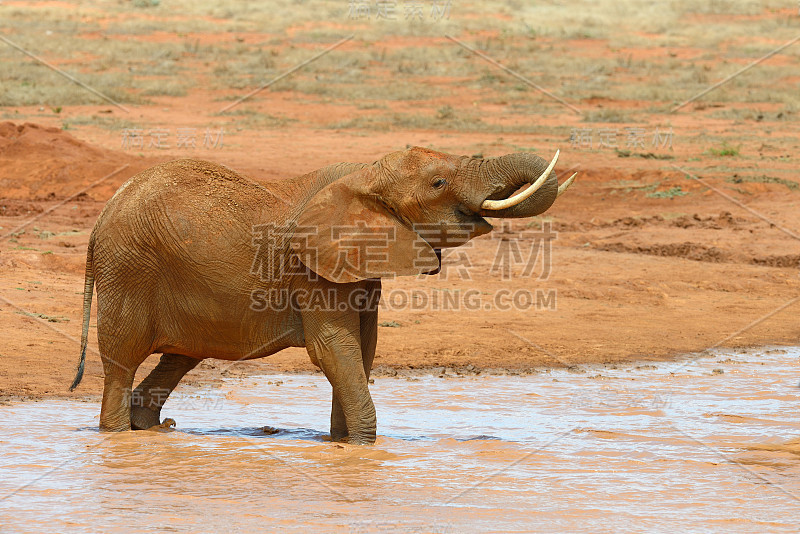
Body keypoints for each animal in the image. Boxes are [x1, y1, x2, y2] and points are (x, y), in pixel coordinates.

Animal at [69, 147, 576, 448]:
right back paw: (117, 437)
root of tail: (101, 217)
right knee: (123, 360)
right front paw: (365, 446)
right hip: (129, 269)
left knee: (179, 356)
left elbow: (362, 351)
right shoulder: (312, 269)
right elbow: (334, 349)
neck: (366, 175)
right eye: (437, 184)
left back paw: (155, 430)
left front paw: (343, 446)